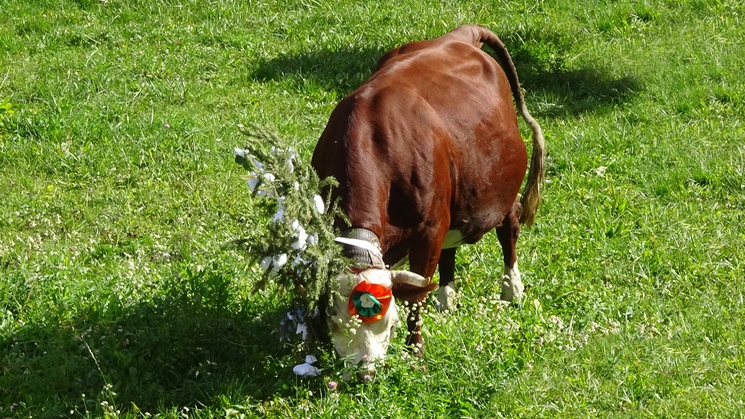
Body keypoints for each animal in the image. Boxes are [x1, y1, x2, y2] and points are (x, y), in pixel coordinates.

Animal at [311, 25, 545, 377]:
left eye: (388, 321)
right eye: (335, 318)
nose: (365, 371)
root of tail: (462, 35)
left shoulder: (429, 230)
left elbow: (415, 298)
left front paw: (416, 353)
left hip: (499, 190)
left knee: (510, 224)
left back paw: (511, 289)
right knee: (452, 246)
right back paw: (447, 299)